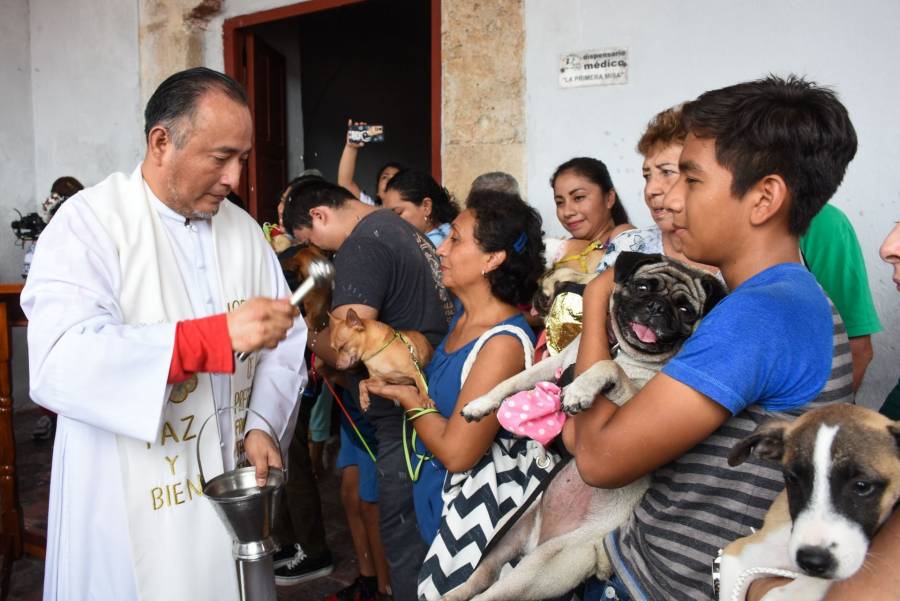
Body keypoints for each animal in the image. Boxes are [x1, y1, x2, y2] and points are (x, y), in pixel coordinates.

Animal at [446, 253, 728, 600]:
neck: (621, 348)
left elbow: (605, 366)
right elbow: (511, 382)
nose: (658, 307)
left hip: (540, 565)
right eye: (644, 287)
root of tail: (535, 541)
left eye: (686, 310)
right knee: (481, 575)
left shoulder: (631, 406)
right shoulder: (555, 364)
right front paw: (480, 404)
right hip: (509, 529)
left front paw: (579, 391)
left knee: (493, 591)